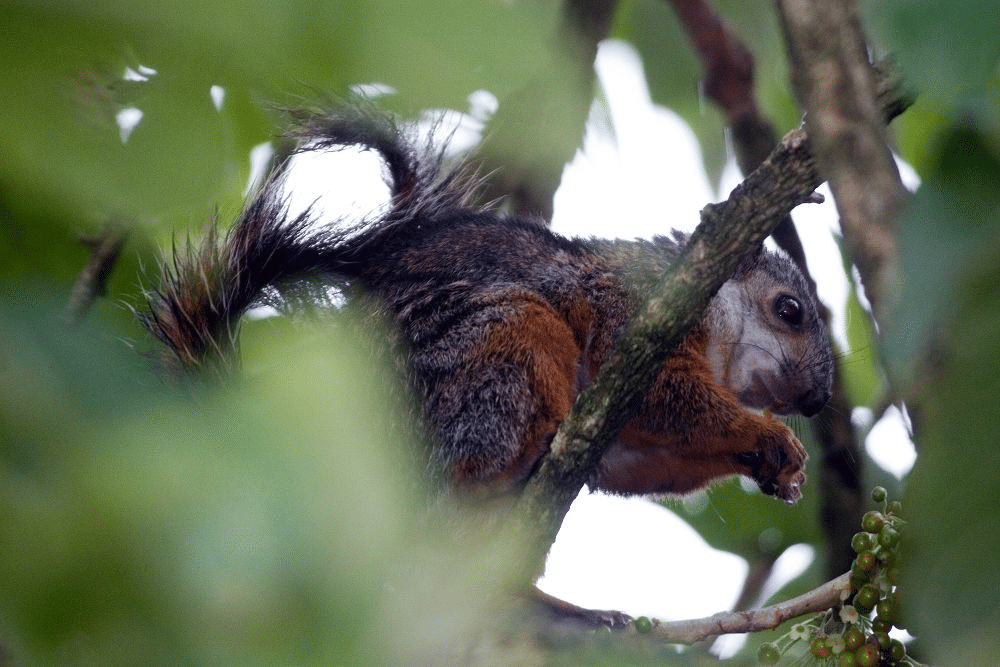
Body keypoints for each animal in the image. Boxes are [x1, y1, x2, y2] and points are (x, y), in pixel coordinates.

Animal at [142, 107, 833, 506]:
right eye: (790, 310)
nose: (817, 401)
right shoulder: (635, 312)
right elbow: (669, 399)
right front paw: (767, 435)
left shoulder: (623, 446)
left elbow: (644, 458)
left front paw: (777, 467)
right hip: (498, 343)